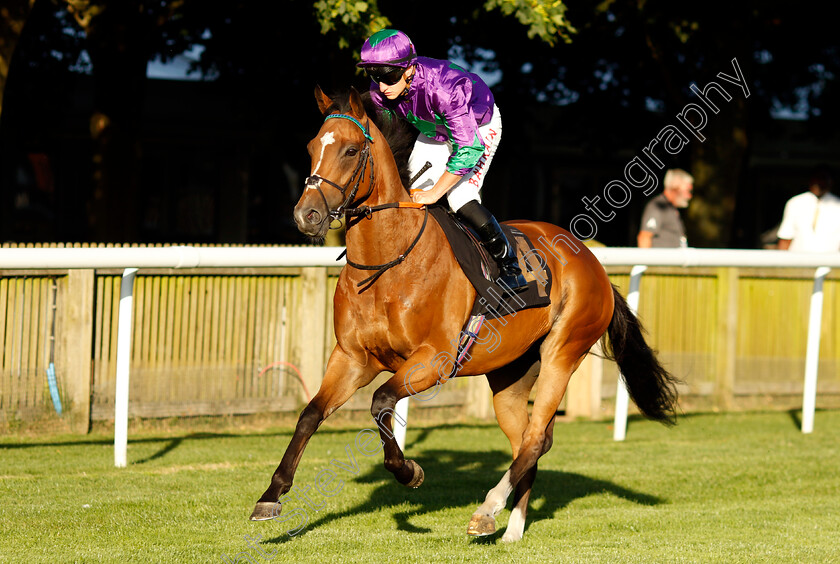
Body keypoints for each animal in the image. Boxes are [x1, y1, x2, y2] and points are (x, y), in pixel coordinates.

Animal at [248, 86, 676, 540]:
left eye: (349, 150)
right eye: (312, 147)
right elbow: (310, 414)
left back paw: (488, 509)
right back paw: (512, 527)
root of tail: (593, 263)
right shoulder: (351, 358)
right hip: (509, 375)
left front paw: (408, 471)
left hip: (563, 352)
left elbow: (381, 403)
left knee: (536, 436)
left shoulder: (432, 361)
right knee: (528, 438)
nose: (306, 214)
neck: (388, 262)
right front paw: (270, 496)